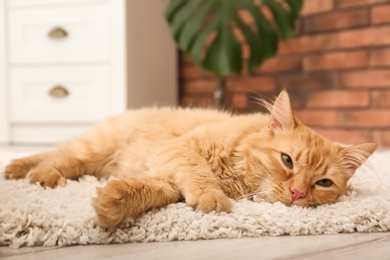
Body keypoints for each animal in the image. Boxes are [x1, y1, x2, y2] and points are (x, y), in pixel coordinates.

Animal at [3, 91, 374, 228]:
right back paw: (31, 172)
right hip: (93, 151)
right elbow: (198, 174)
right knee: (58, 155)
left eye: (323, 183)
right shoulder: (178, 151)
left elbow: (154, 192)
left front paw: (113, 203)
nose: (297, 194)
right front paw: (211, 197)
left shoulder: (165, 175)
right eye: (287, 161)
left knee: (57, 152)